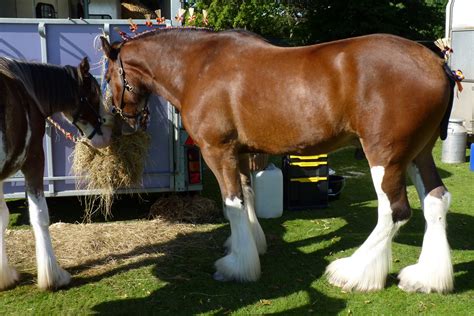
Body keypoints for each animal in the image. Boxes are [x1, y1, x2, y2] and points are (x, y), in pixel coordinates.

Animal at [0, 57, 113, 292]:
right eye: (93, 94)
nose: (108, 134)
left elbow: (3, 218)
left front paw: (4, 276)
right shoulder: (34, 160)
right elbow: (40, 217)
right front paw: (53, 277)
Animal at [102, 29, 458, 294]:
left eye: (108, 75)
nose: (121, 115)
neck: (199, 67)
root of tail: (435, 63)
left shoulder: (217, 151)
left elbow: (232, 203)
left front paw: (237, 266)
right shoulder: (241, 153)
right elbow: (247, 196)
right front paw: (252, 245)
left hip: (385, 156)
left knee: (394, 211)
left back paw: (352, 273)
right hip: (418, 153)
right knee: (435, 200)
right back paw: (425, 278)